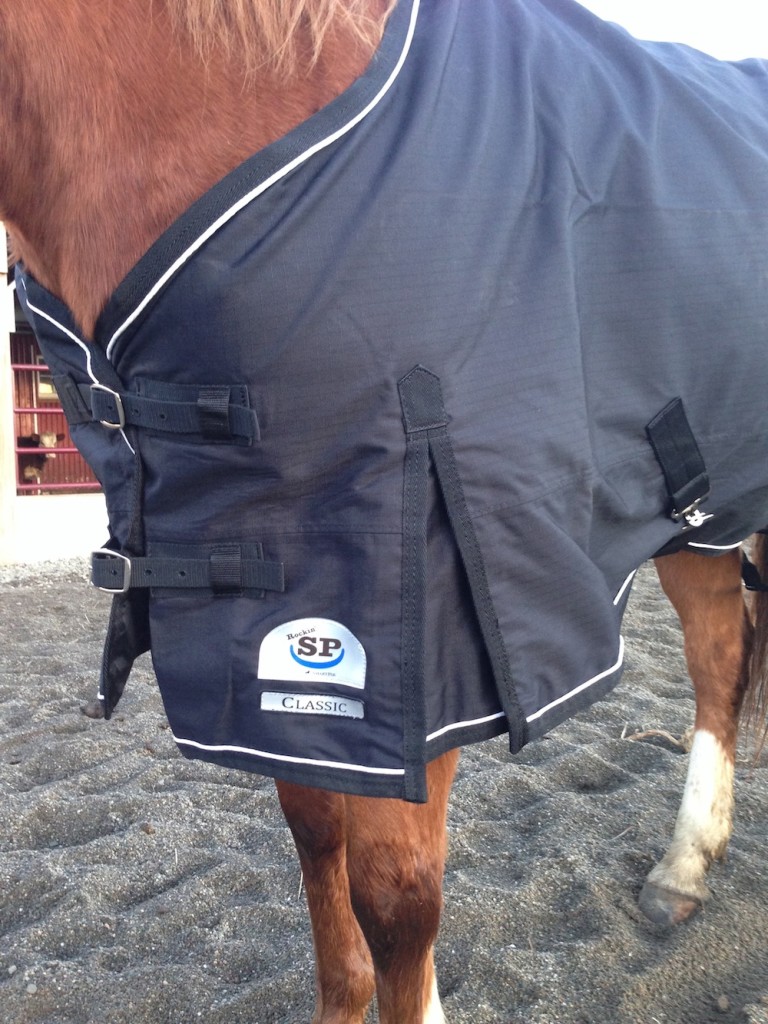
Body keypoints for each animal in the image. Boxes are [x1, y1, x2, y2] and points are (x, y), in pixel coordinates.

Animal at [2, 1, 768, 1021]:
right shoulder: (279, 655)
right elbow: (317, 839)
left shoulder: (426, 640)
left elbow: (398, 899)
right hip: (703, 509)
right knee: (721, 648)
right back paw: (683, 870)